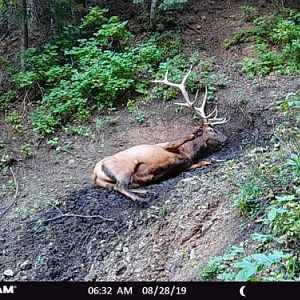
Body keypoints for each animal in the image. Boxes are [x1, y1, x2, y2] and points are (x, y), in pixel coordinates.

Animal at [91, 67, 227, 200]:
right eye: (211, 130)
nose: (226, 138)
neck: (190, 152)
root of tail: (95, 173)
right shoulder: (166, 146)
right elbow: (185, 138)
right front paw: (194, 133)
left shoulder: (187, 164)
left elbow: (206, 162)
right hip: (123, 169)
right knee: (120, 186)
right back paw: (140, 198)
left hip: (113, 180)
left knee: (120, 186)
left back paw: (144, 191)